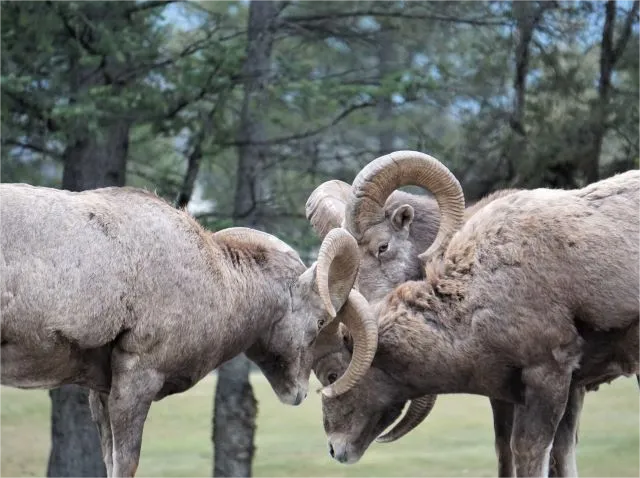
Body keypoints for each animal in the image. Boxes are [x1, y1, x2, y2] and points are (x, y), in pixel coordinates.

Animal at [0, 184, 378, 478]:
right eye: (319, 322)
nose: (299, 393)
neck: (218, 282)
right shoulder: (137, 379)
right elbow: (126, 464)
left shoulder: (102, 391)